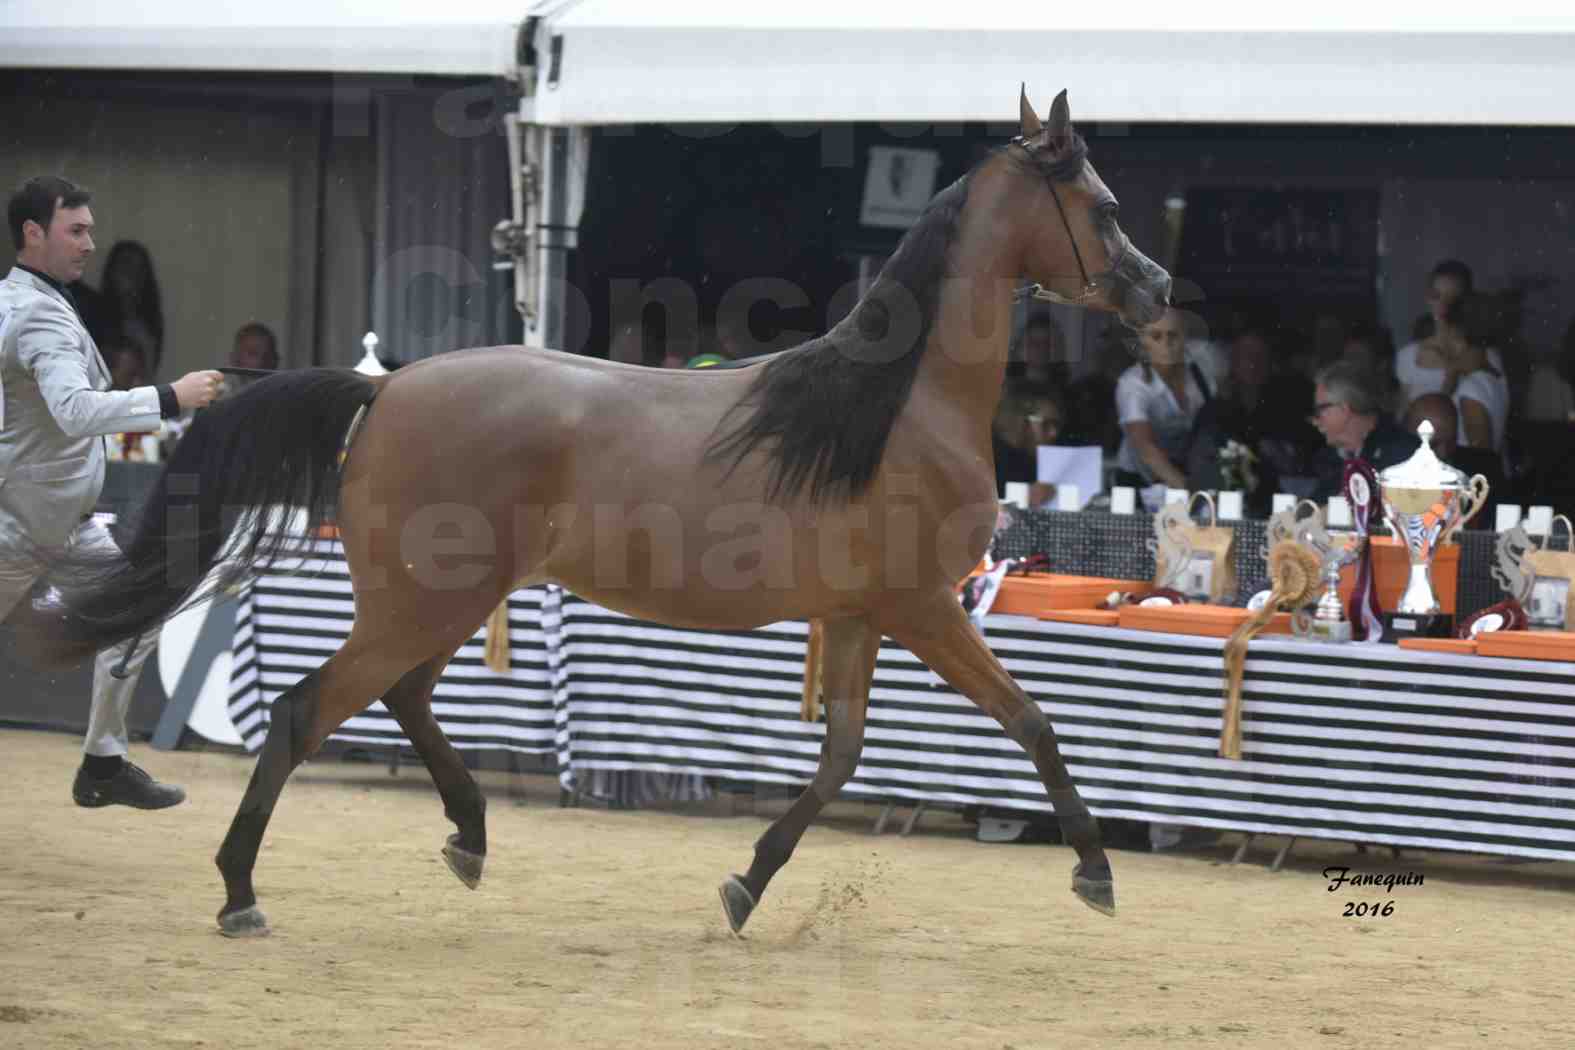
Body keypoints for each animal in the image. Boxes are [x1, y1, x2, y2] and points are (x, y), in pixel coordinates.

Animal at [21, 90, 1171, 938]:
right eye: (1105, 205)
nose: (1159, 292)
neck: (893, 408)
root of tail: (385, 389)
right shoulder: (926, 606)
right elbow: (1031, 721)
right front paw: (1097, 874)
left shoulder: (856, 615)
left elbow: (841, 756)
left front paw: (744, 886)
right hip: (424, 602)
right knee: (312, 710)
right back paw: (242, 893)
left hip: (442, 602)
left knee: (402, 699)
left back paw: (469, 838)